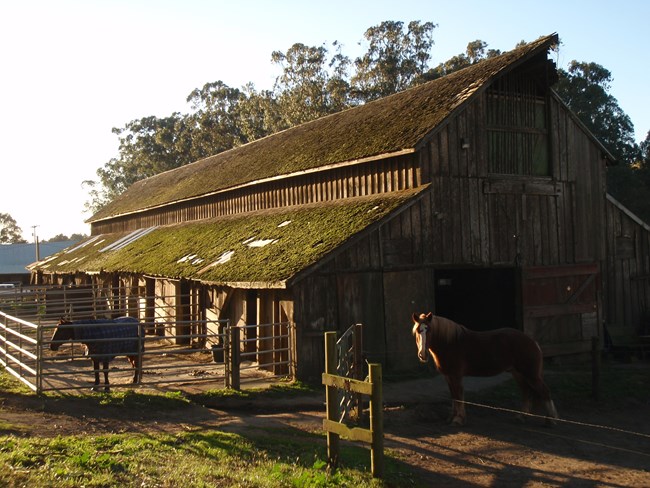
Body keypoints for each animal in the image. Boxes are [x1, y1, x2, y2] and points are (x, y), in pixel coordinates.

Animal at [410, 314, 556, 426]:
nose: (422, 355)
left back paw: (550, 420)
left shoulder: (456, 376)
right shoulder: (448, 376)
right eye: (418, 331)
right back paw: (521, 417)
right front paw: (451, 417)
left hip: (531, 375)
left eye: (429, 330)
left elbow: (458, 396)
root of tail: (532, 341)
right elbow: (453, 397)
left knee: (545, 392)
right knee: (526, 392)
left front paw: (458, 419)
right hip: (518, 374)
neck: (450, 343)